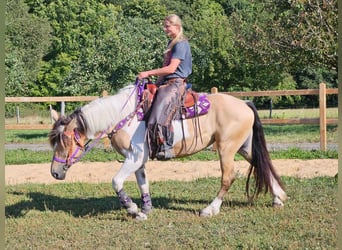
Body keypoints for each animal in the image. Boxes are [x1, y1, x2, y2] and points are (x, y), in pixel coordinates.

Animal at [49, 81, 288, 220]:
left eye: (65, 141)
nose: (55, 173)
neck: (123, 116)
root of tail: (245, 104)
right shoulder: (137, 160)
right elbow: (142, 182)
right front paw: (145, 210)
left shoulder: (134, 157)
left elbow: (116, 181)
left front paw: (132, 209)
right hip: (244, 147)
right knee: (262, 164)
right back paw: (278, 198)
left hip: (226, 149)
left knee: (228, 177)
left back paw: (210, 209)